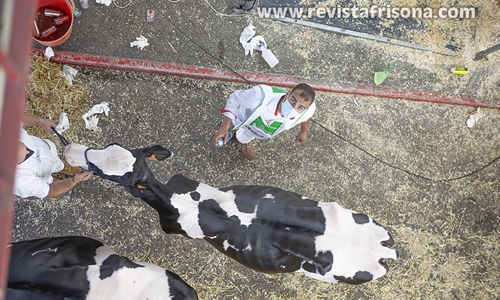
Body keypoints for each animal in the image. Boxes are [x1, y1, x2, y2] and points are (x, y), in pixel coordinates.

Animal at [64, 143, 396, 284]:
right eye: (108, 144)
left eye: (102, 173)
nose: (69, 149)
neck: (176, 199)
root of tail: (386, 253)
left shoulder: (173, 227)